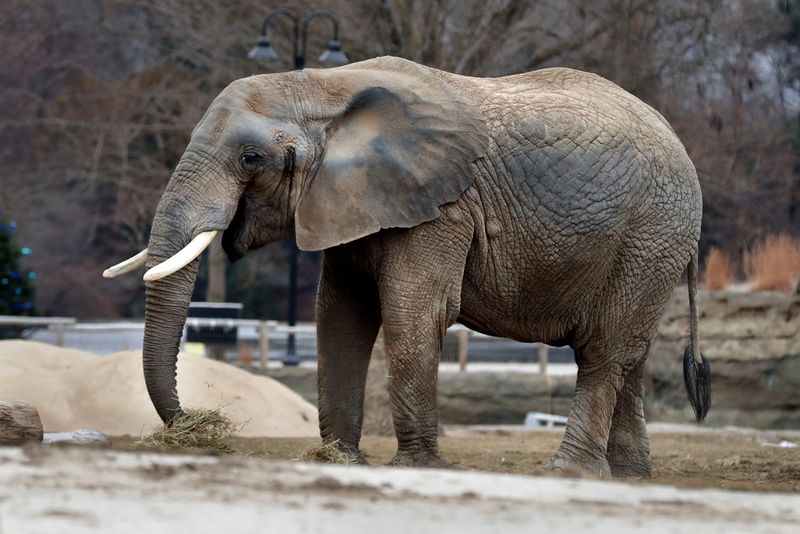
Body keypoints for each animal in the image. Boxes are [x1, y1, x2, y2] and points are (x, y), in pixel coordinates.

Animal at [105, 56, 710, 478]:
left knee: (604, 353)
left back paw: (572, 472)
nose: (193, 422)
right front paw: (341, 459)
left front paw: (416, 466)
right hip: (652, 247)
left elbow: (412, 314)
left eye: (250, 159)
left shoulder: (441, 207)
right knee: (629, 358)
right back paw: (628, 476)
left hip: (650, 235)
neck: (324, 86)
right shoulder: (350, 202)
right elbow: (339, 317)